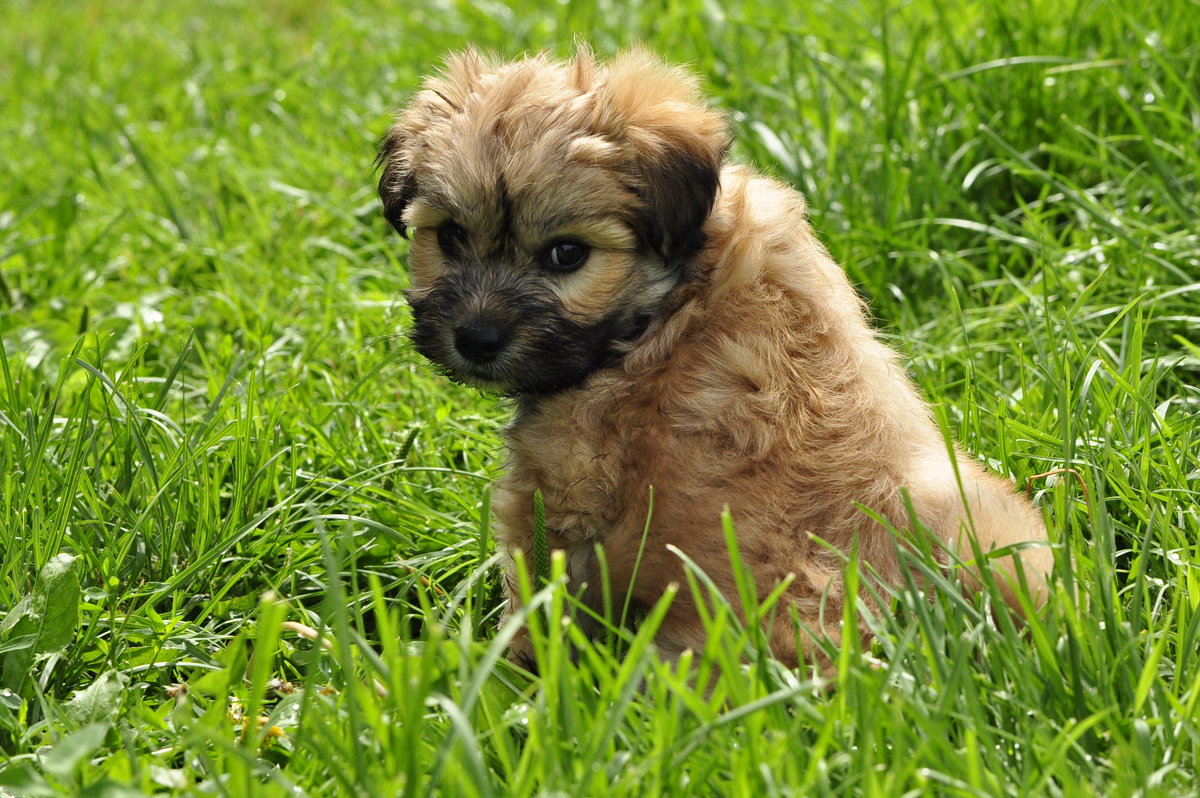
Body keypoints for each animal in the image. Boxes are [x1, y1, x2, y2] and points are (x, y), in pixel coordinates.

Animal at [374, 45, 1051, 667]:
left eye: (567, 254)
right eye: (451, 236)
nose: (476, 338)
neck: (672, 303)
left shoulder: (556, 493)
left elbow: (536, 606)